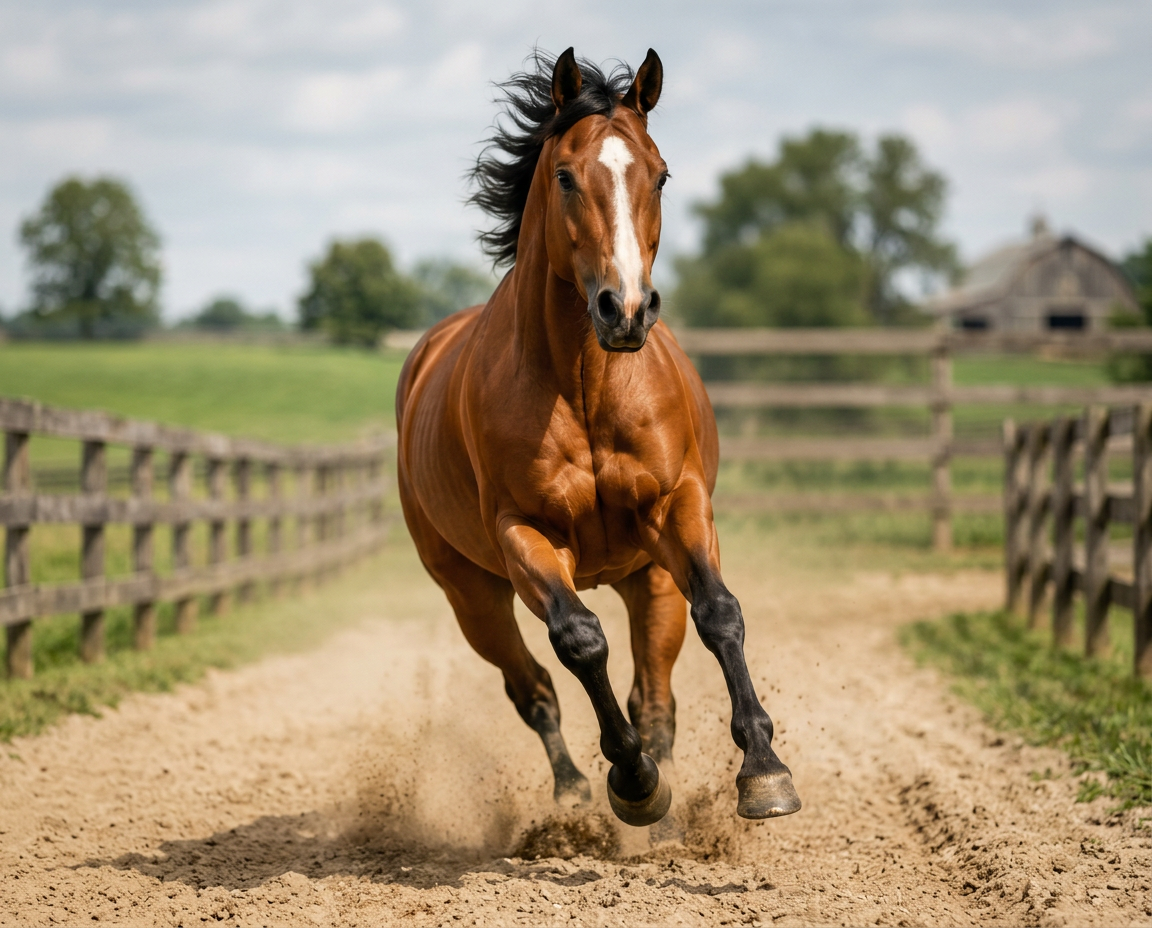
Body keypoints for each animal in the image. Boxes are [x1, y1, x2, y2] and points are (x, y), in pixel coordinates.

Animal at [396, 47, 800, 826]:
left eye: (661, 173)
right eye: (564, 175)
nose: (626, 309)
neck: (585, 384)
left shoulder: (679, 507)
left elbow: (721, 614)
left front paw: (764, 771)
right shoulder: (525, 534)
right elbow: (579, 641)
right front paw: (632, 781)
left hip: (648, 575)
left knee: (655, 692)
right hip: (470, 593)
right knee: (533, 689)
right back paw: (577, 795)